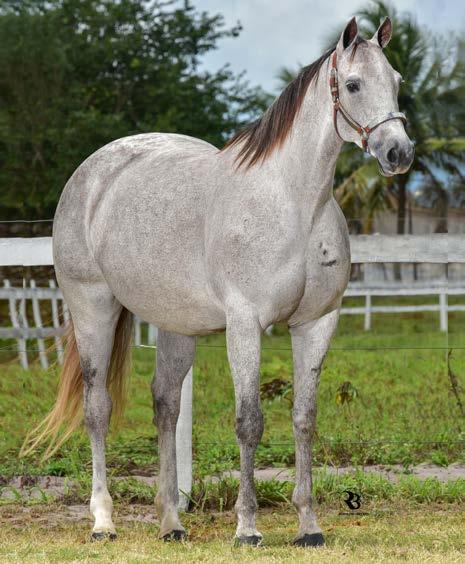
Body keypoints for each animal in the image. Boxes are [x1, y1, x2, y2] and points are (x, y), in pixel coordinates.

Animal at [26, 16, 414, 548]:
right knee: (98, 408)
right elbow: (249, 422)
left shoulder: (316, 323)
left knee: (166, 406)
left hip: (176, 326)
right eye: (353, 85)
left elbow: (304, 419)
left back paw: (171, 521)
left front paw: (308, 525)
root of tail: (91, 174)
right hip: (93, 309)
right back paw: (103, 521)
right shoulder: (245, 323)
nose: (399, 153)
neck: (294, 205)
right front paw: (247, 527)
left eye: (396, 81)